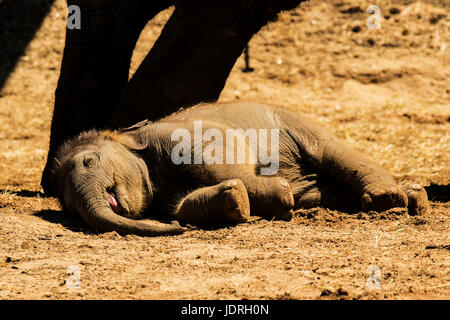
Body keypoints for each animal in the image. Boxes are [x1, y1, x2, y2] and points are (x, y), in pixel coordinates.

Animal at [49, 101, 428, 236]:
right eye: (69, 207)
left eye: (89, 161)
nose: (176, 230)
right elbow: (182, 205)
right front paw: (235, 200)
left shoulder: (181, 134)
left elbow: (216, 156)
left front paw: (276, 195)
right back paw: (413, 197)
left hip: (294, 123)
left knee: (330, 151)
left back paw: (390, 199)